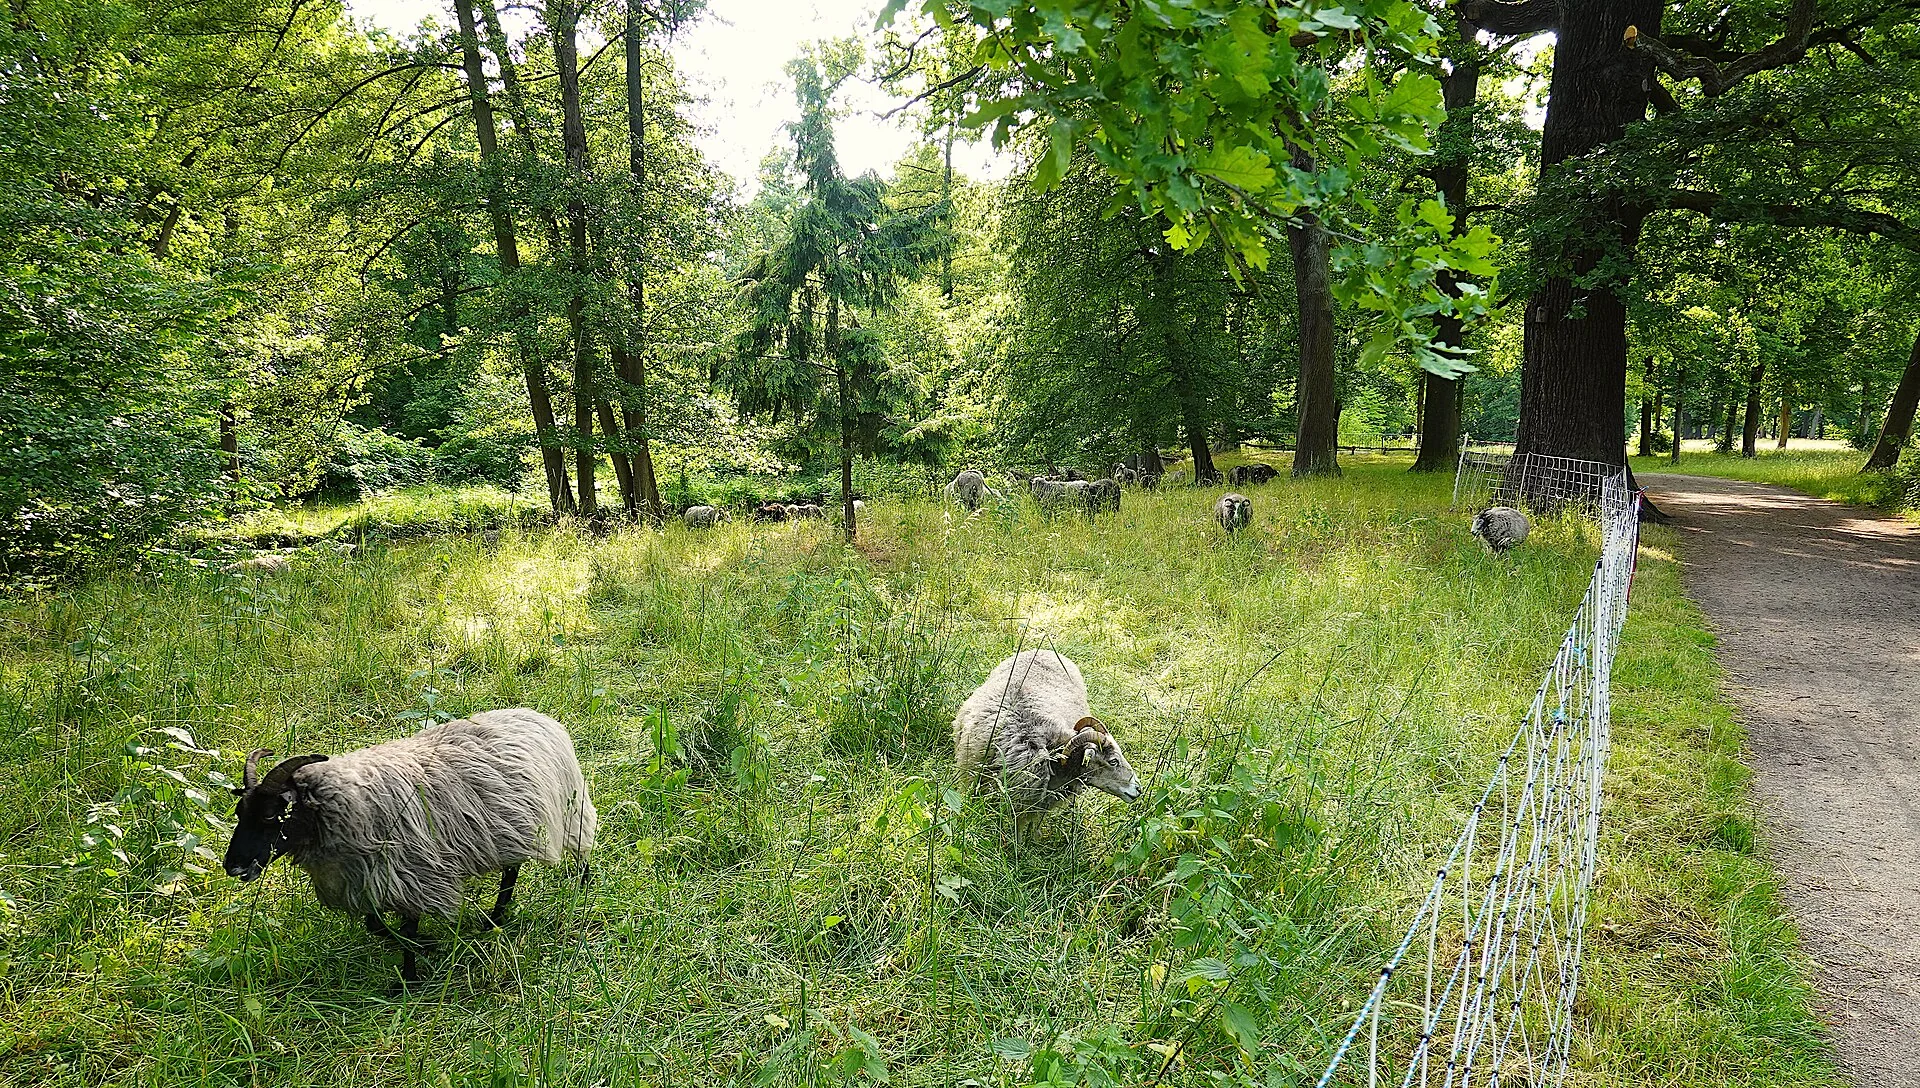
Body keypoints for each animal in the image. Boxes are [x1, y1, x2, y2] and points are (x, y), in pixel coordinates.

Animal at [222, 708, 597, 982]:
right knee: (511, 870)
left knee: (578, 851)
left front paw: (411, 975)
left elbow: (407, 930)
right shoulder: (367, 880)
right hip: (509, 828)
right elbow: (377, 927)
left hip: (569, 809)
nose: (233, 866)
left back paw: (583, 887)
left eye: (271, 816)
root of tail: (537, 717)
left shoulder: (414, 876)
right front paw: (427, 947)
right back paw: (494, 918)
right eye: (240, 812)